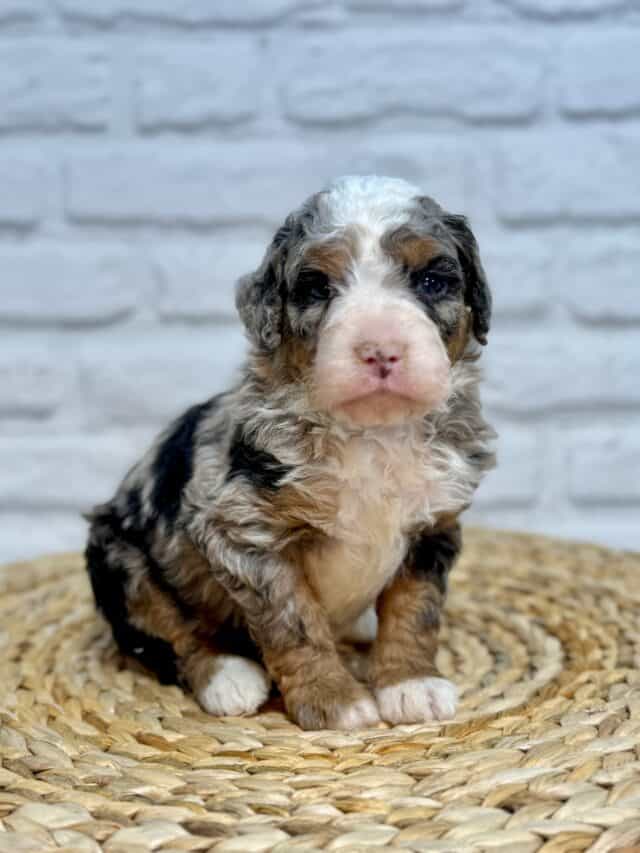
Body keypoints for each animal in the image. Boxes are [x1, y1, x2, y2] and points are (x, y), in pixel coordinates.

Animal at [85, 176, 496, 728]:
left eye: (431, 281)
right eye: (317, 288)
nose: (379, 350)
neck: (371, 433)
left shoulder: (433, 525)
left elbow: (416, 607)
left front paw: (410, 683)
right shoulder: (243, 529)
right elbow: (293, 621)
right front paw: (335, 699)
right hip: (121, 560)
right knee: (168, 635)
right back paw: (226, 677)